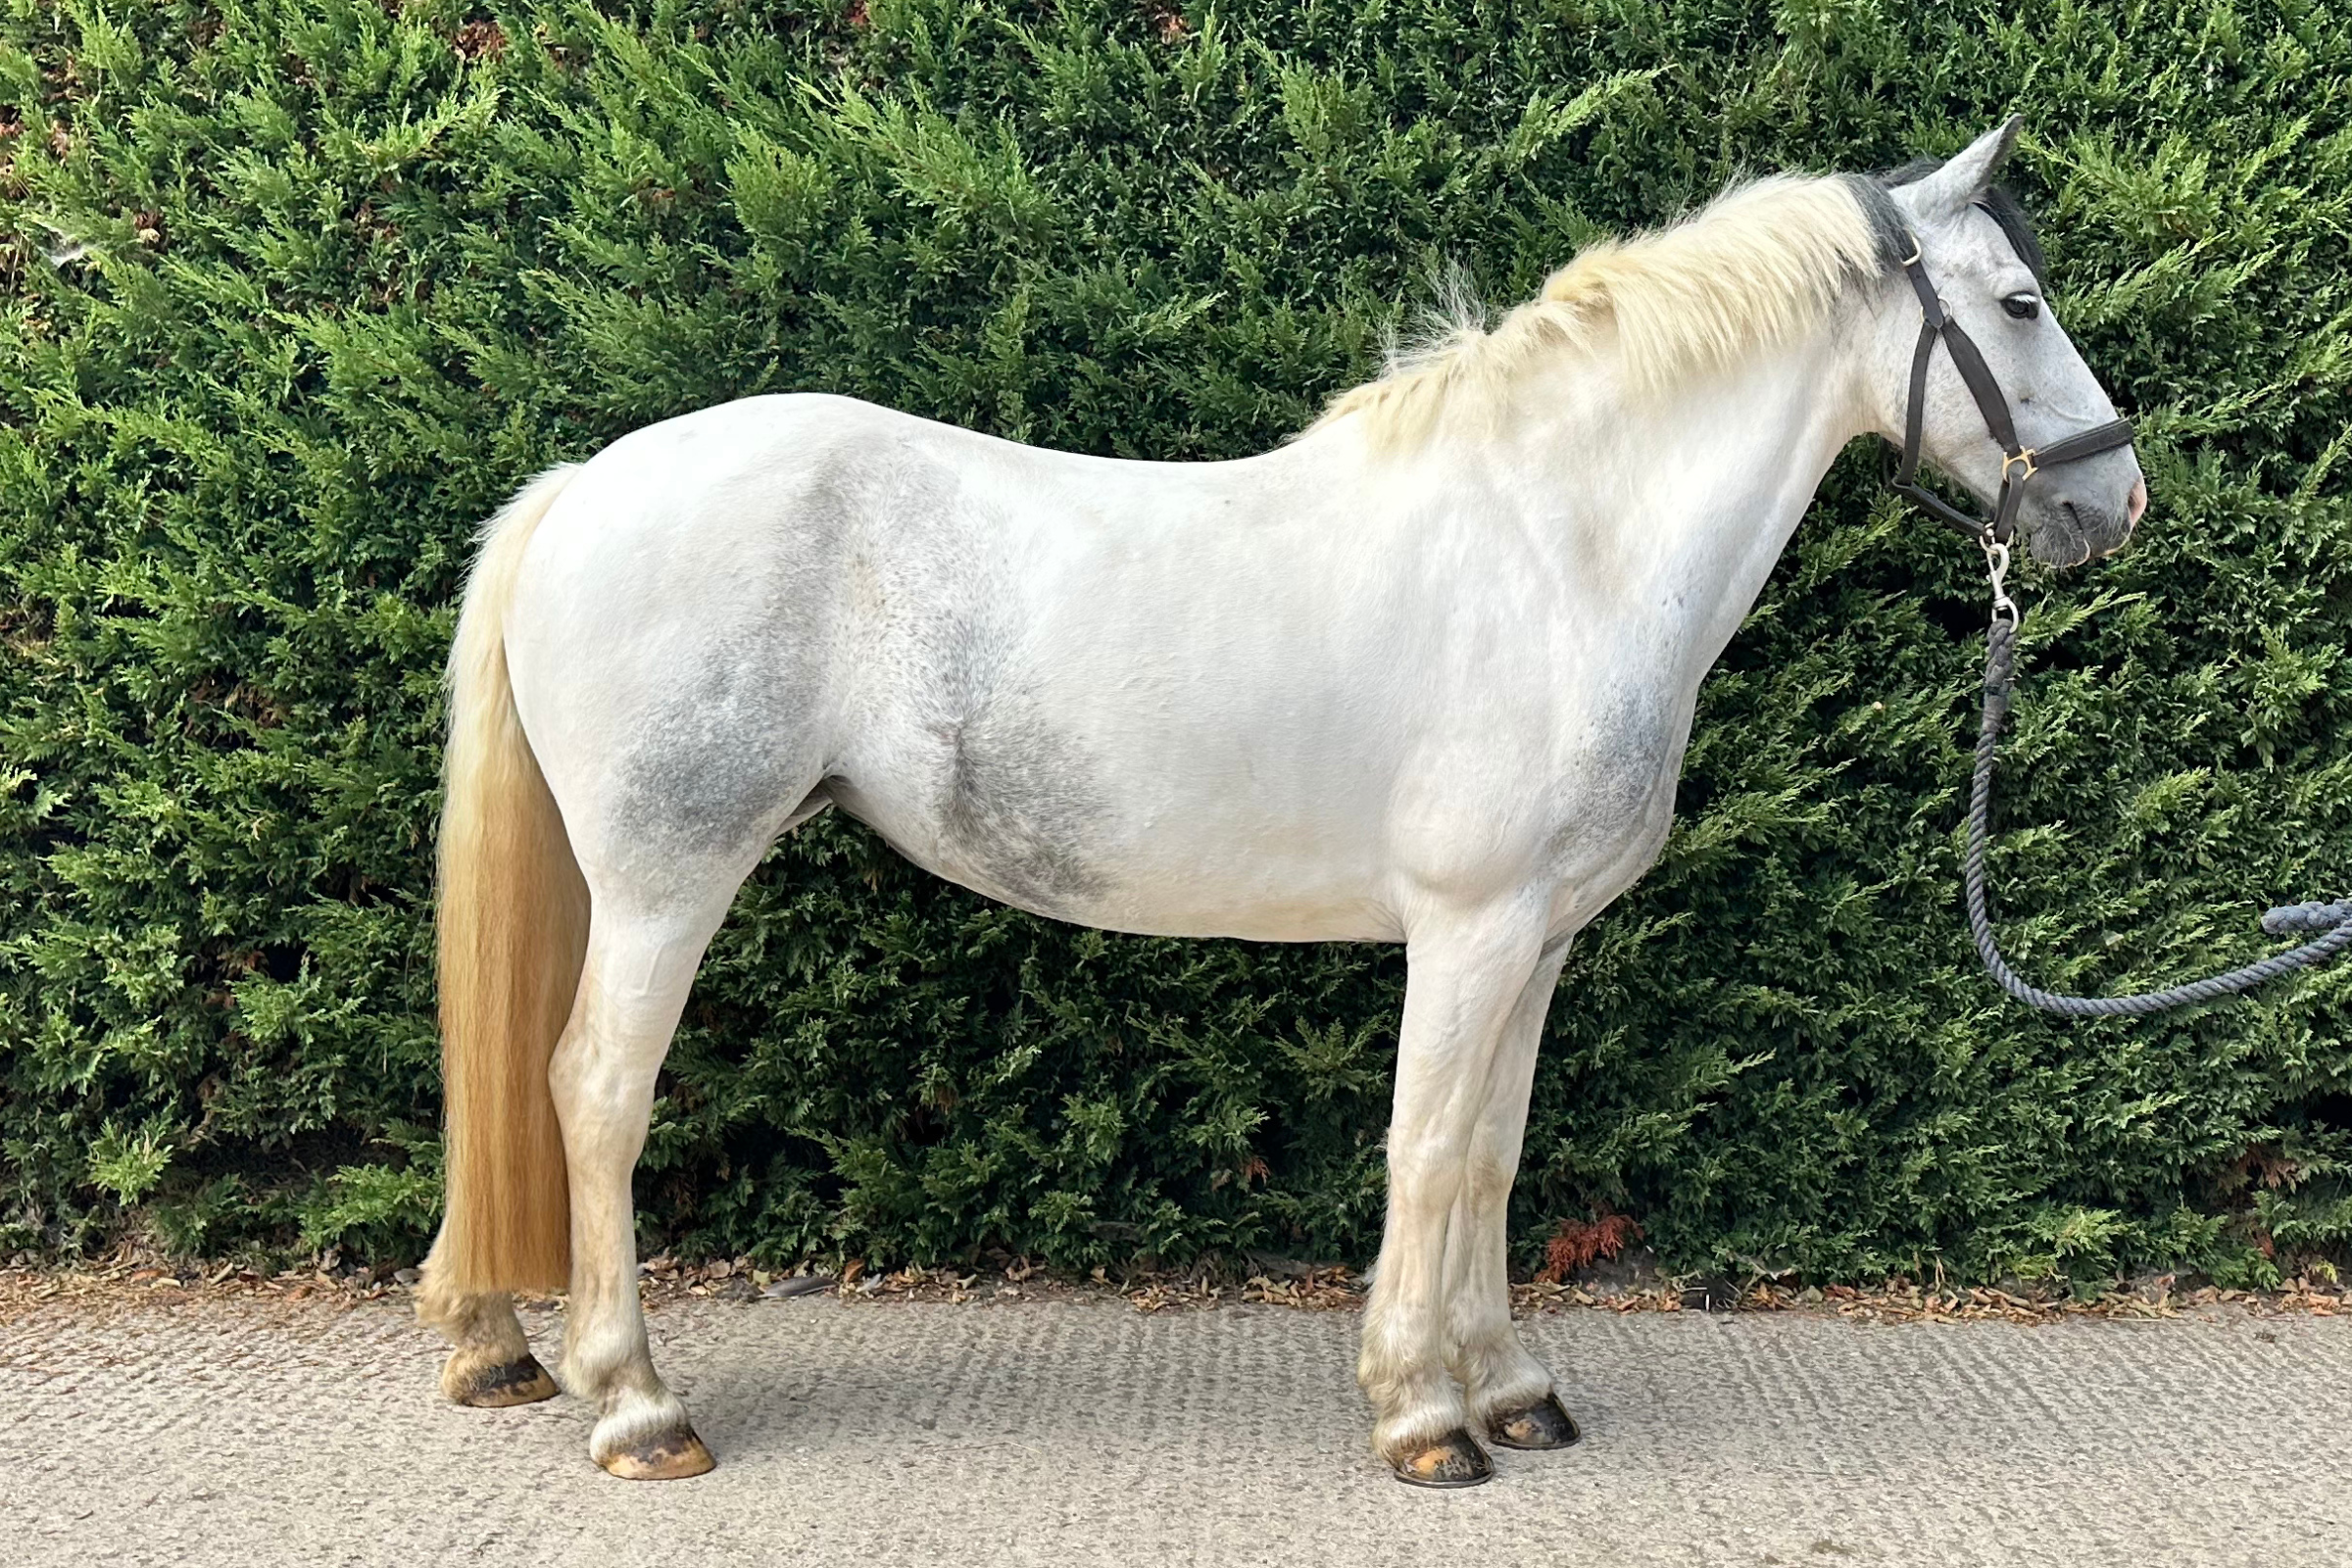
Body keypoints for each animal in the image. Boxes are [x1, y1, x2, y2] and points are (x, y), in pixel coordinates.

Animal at [415, 118, 2147, 1487]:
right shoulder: (1467, 931)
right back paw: (638, 1408)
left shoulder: (1539, 943)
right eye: (2020, 302)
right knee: (593, 1093)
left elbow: (1496, 1154)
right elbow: (1427, 1150)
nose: (2114, 499)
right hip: (667, 878)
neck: (1560, 552)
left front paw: (1513, 1391)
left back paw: (522, 1357)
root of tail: (586, 486)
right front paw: (1422, 1420)